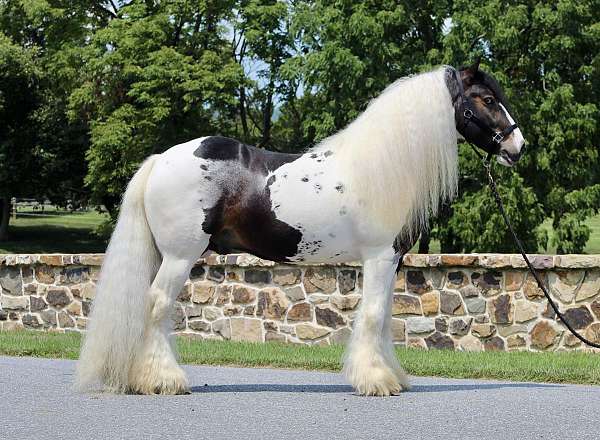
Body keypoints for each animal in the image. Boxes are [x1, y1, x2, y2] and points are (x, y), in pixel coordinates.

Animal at [76, 61, 524, 396]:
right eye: (487, 99)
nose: (517, 148)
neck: (381, 167)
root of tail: (160, 160)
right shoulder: (379, 257)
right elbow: (373, 314)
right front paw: (376, 381)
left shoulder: (392, 261)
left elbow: (382, 319)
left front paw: (391, 376)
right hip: (179, 255)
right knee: (157, 305)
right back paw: (164, 380)